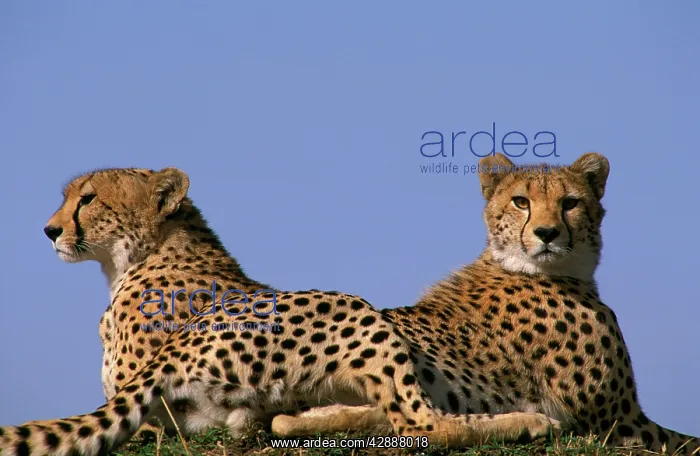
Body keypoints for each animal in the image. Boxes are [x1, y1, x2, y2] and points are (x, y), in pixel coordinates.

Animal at [0, 166, 561, 456]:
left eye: (88, 198)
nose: (50, 230)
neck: (148, 252)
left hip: (349, 306)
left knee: (421, 425)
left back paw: (531, 421)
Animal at [270, 152, 700, 455]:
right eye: (521, 201)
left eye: (571, 203)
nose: (546, 233)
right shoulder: (622, 422)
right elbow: (688, 441)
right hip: (356, 311)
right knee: (419, 426)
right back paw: (530, 423)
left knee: (291, 422)